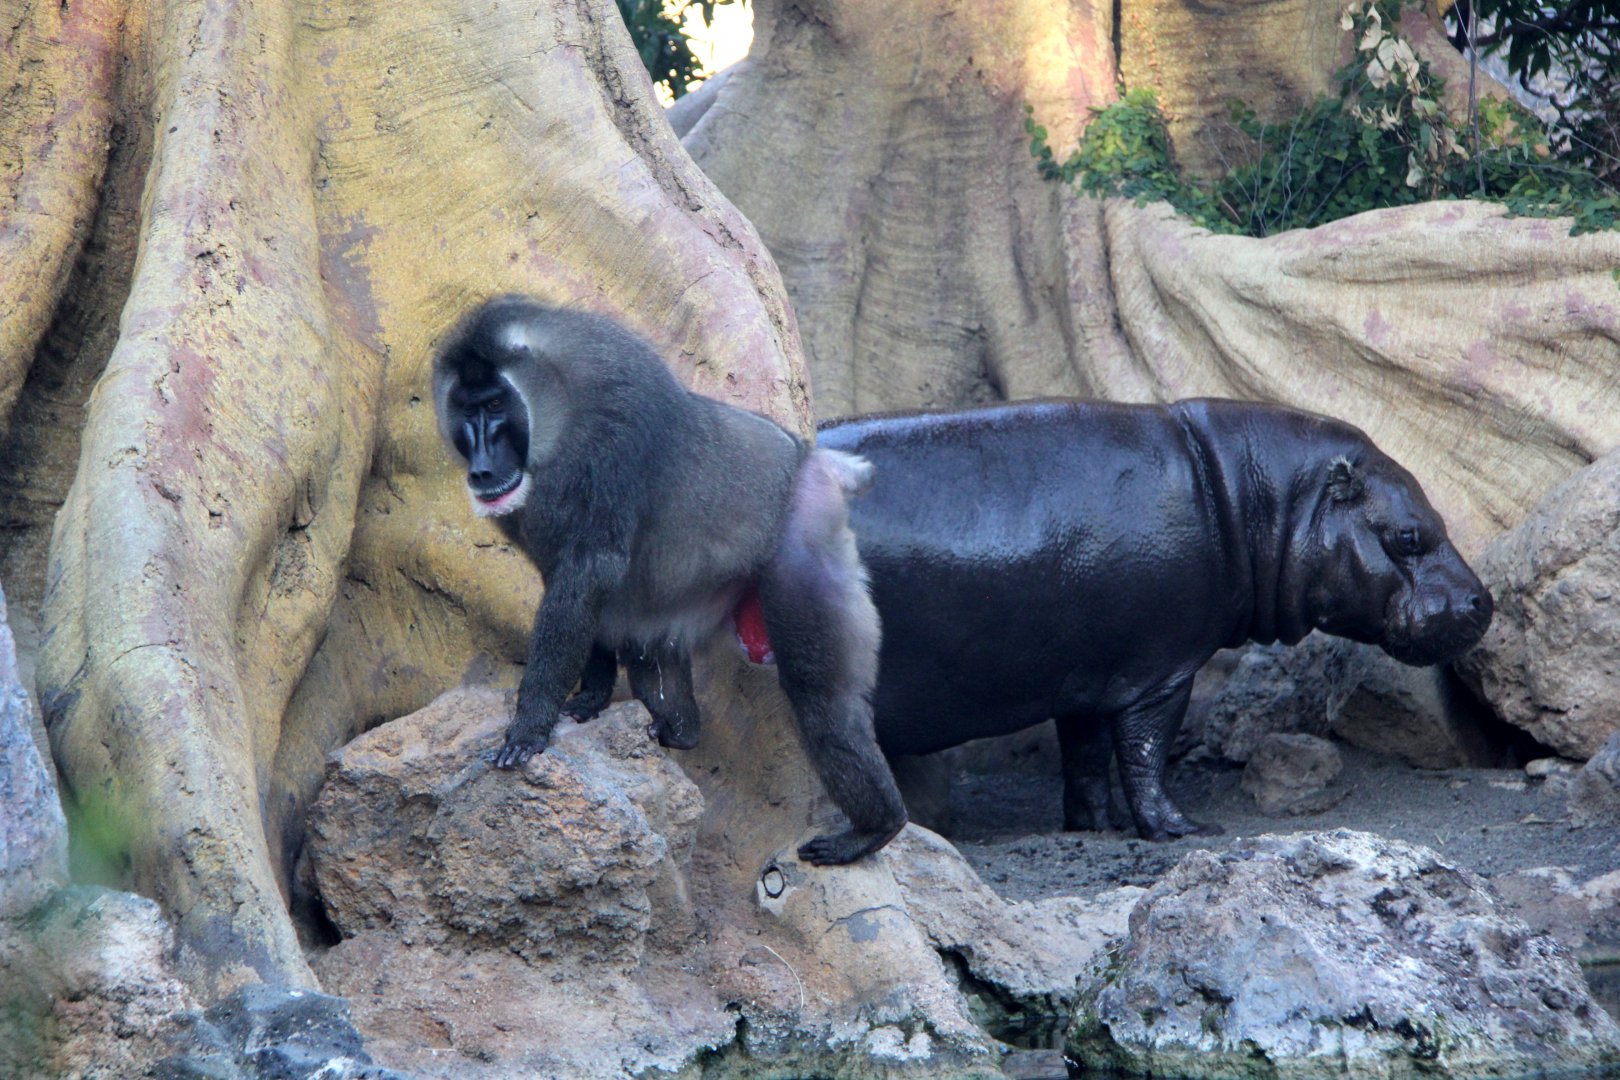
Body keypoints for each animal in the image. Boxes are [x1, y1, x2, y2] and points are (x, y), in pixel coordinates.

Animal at [816, 399, 1492, 840]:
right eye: (1408, 536)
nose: (1482, 602)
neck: (1252, 499)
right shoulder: (1159, 670)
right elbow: (1145, 752)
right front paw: (1185, 829)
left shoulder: (1087, 675)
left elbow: (1087, 757)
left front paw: (1093, 826)